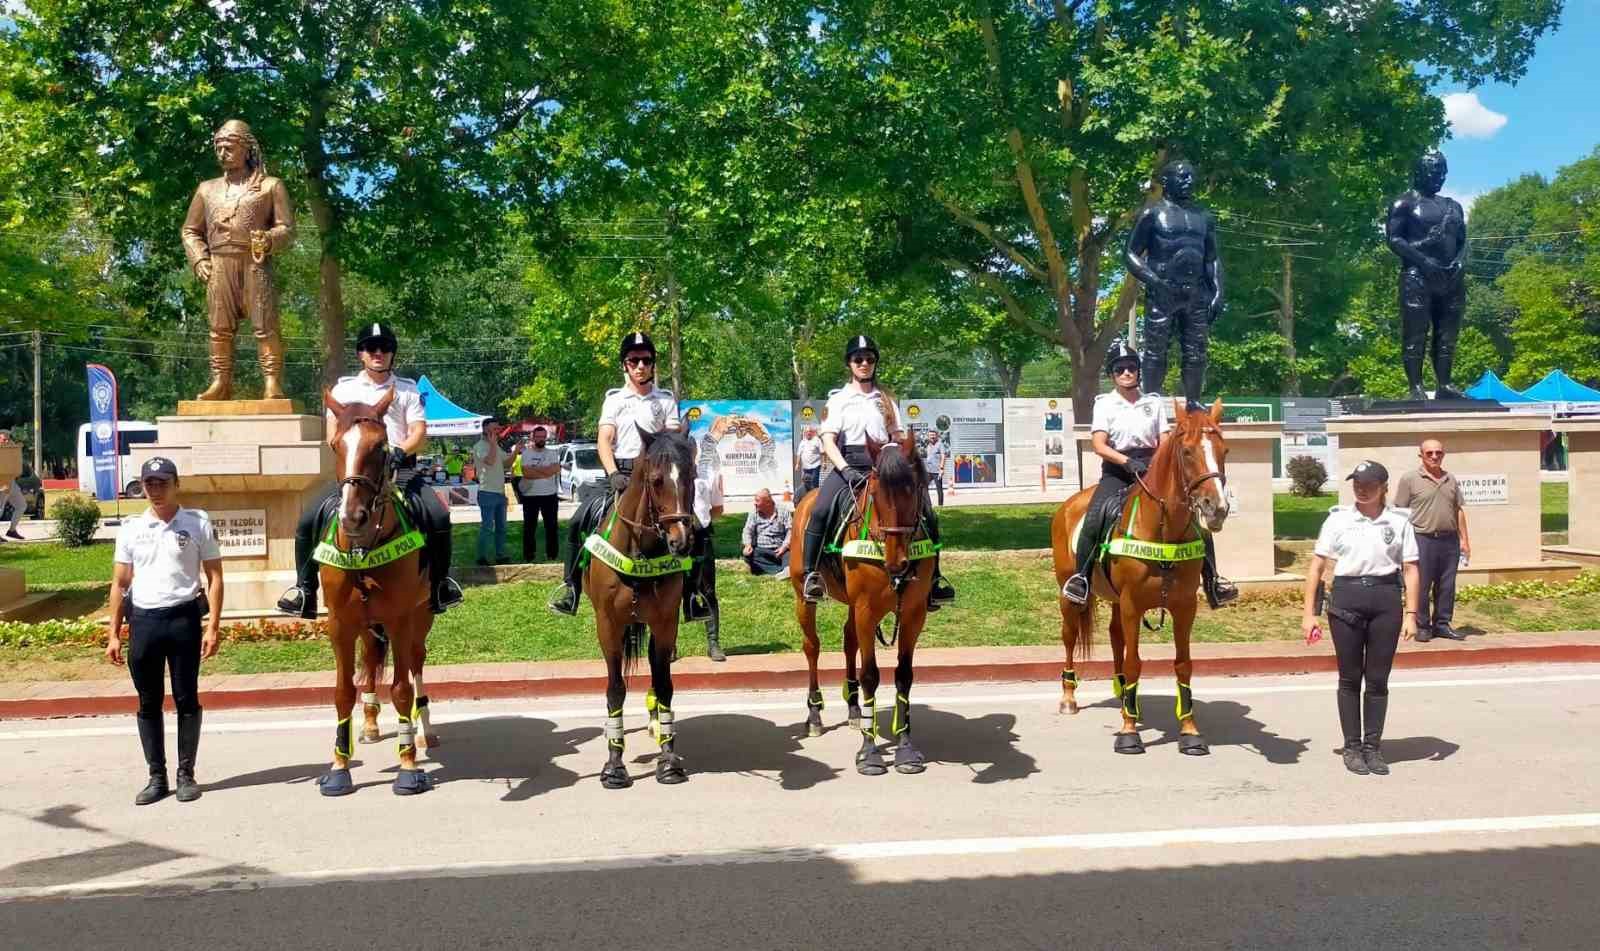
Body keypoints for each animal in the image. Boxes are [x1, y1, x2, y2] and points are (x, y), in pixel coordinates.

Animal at [315, 389, 438, 797]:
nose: (353, 517)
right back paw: (369, 723)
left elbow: (401, 689)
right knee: (370, 659)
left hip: (420, 617)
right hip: (368, 624)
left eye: (382, 447)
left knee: (416, 664)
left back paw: (424, 729)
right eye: (335, 445)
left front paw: (408, 765)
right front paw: (339, 767)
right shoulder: (339, 623)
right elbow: (342, 692)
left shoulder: (400, 619)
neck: (362, 548)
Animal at [582, 429, 694, 784]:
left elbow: (664, 685)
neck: (639, 550)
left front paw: (668, 758)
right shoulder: (608, 625)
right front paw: (614, 764)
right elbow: (615, 689)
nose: (681, 540)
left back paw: (656, 724)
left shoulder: (666, 623)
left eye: (692, 476)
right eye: (656, 481)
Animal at [790, 425, 934, 774]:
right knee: (812, 647)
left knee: (848, 641)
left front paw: (906, 748)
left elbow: (904, 676)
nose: (898, 562)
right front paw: (869, 753)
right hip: (804, 597)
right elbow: (870, 675)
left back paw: (855, 709)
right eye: (876, 492)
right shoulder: (867, 610)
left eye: (915, 489)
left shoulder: (913, 613)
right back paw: (814, 714)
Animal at [1056, 395, 1228, 752]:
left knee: (1115, 636)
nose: (1216, 508)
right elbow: (1134, 662)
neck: (1163, 531)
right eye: (1187, 451)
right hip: (1071, 597)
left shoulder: (1184, 606)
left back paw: (1124, 696)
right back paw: (1069, 697)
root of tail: (1069, 503)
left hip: (1116, 601)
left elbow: (1183, 665)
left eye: (1225, 450)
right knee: (1069, 636)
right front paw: (1128, 732)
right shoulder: (1133, 605)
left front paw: (1190, 731)